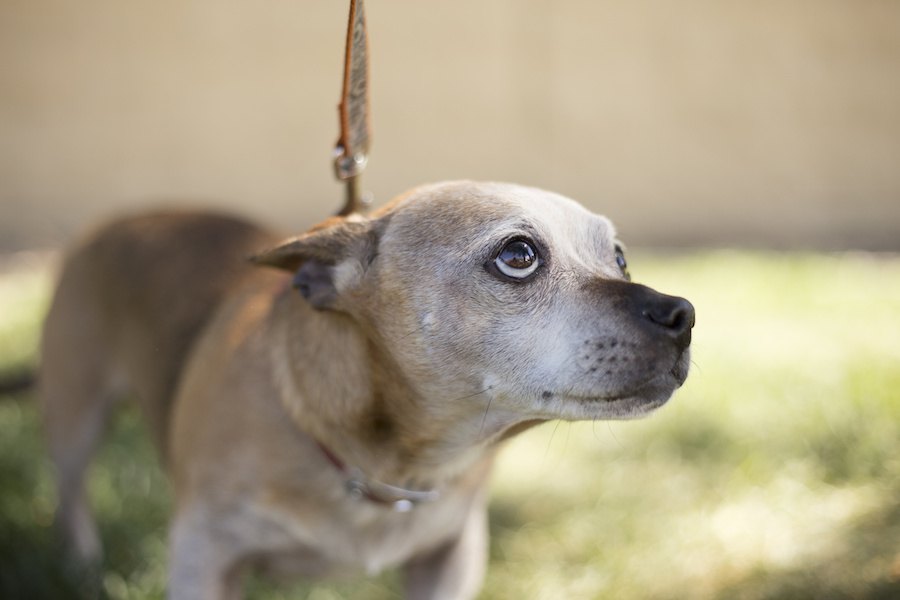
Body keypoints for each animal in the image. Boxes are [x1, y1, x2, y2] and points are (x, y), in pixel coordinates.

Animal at [38, 182, 692, 600]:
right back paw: (81, 563)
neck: (388, 465)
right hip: (74, 416)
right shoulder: (204, 556)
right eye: (518, 255)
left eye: (620, 258)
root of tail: (127, 216)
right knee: (70, 491)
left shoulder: (450, 561)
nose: (682, 314)